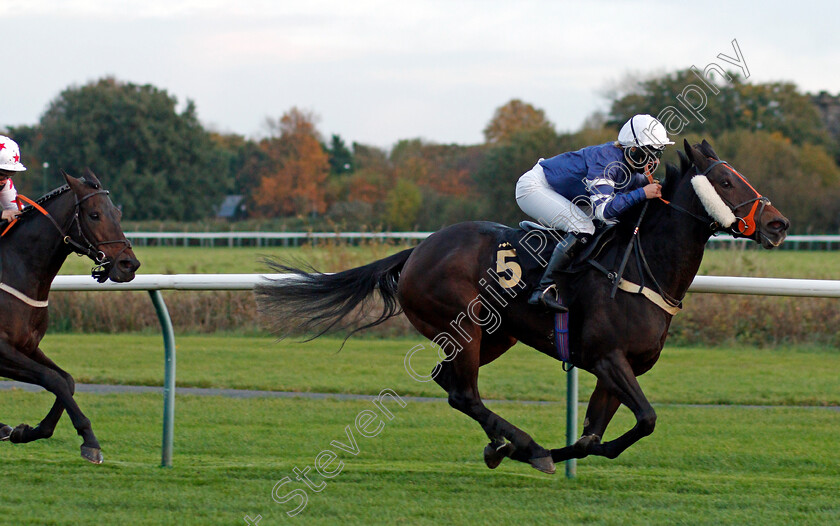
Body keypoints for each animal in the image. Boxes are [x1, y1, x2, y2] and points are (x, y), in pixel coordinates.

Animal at [0, 171, 139, 464]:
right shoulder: (2, 350)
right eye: (94, 214)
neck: (15, 269)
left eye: (118, 213)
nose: (129, 265)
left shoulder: (27, 346)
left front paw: (25, 431)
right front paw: (91, 441)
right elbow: (52, 379)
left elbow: (67, 380)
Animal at [256, 142, 788, 476]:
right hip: (464, 326)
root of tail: (418, 251)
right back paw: (525, 446)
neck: (641, 266)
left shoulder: (619, 368)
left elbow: (597, 439)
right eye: (725, 181)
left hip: (497, 334)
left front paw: (542, 451)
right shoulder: (607, 358)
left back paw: (502, 443)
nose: (779, 224)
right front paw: (537, 451)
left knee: (448, 382)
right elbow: (646, 420)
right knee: (464, 394)